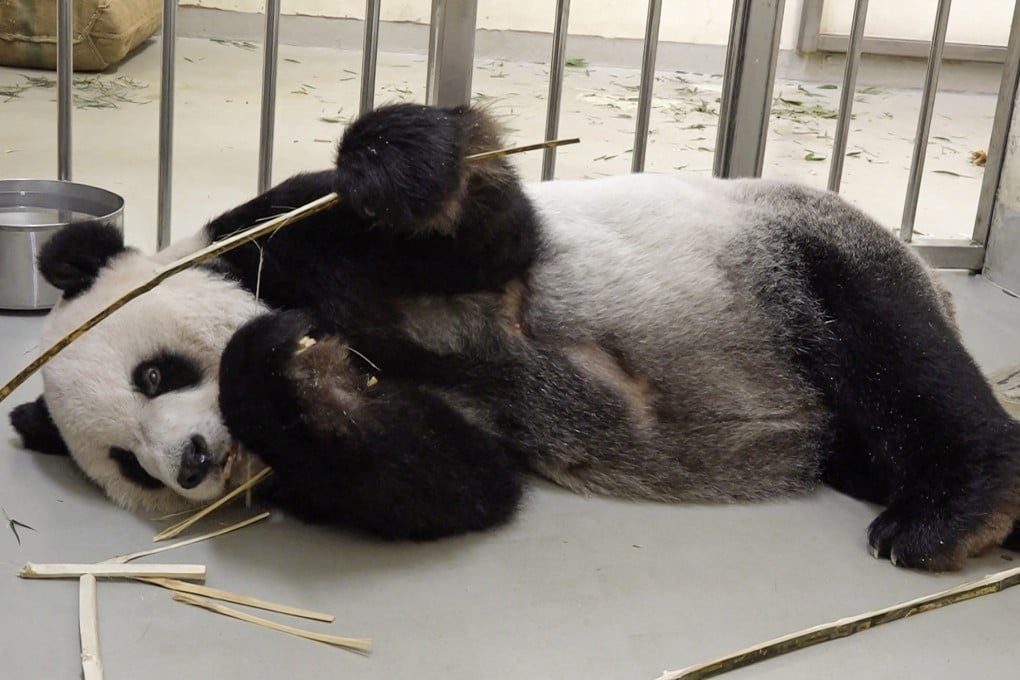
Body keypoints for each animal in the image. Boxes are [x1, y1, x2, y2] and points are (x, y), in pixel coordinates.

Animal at [9, 103, 1020, 571]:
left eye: (154, 374)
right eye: (128, 465)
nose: (187, 462)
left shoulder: (286, 236)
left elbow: (487, 233)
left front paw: (392, 164)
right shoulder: (356, 457)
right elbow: (452, 479)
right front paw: (289, 377)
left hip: (793, 258)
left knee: (898, 355)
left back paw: (950, 510)